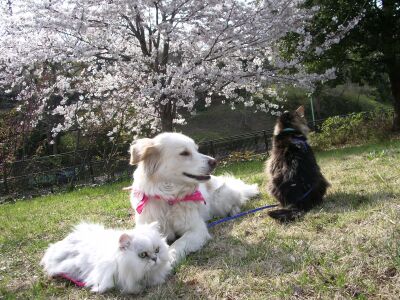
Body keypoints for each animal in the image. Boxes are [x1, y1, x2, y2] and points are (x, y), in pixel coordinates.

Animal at [129, 132, 260, 264]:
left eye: (196, 150)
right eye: (184, 153)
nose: (214, 161)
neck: (169, 198)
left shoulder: (197, 229)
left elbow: (179, 242)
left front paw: (169, 258)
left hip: (221, 200)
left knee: (238, 201)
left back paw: (234, 211)